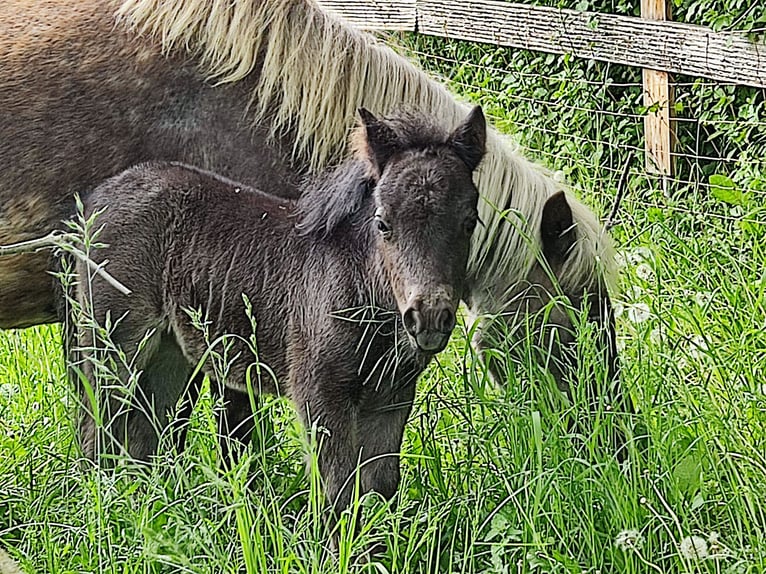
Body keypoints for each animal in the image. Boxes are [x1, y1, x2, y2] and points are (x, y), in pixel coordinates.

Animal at [66, 107, 486, 521]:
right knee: (96, 433)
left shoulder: (392, 396)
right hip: (112, 346)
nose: (428, 317)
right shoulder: (319, 392)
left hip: (169, 353)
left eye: (469, 222)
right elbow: (337, 490)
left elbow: (381, 488)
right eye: (383, 223)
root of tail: (95, 201)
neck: (361, 286)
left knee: (144, 435)